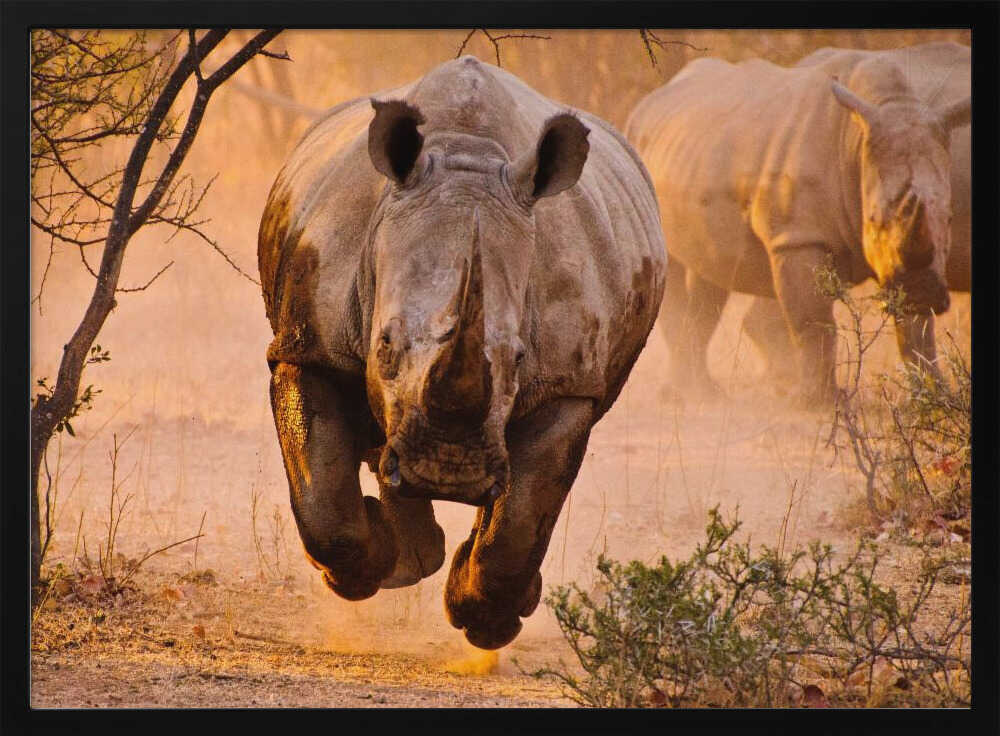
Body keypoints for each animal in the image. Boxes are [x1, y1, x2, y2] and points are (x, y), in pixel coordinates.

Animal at [258, 57, 665, 649]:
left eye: (519, 358)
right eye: (385, 344)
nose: (447, 470)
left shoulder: (568, 385)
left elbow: (521, 518)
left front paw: (486, 621)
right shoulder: (307, 344)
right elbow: (323, 500)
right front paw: (366, 569)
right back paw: (409, 557)